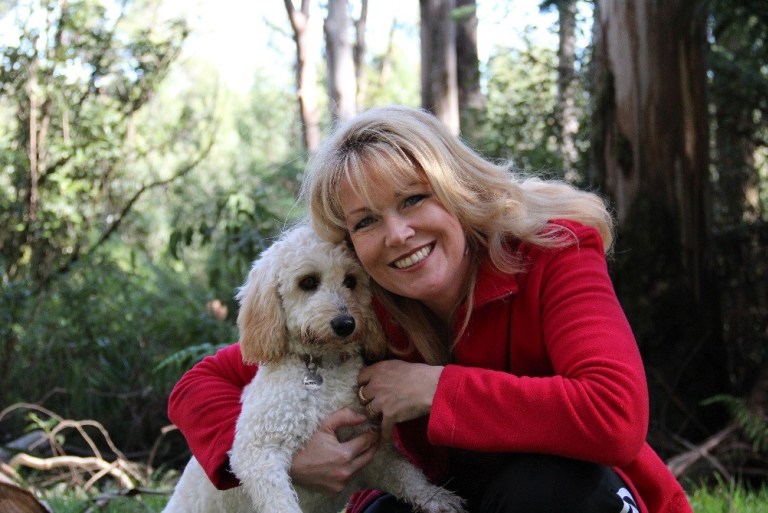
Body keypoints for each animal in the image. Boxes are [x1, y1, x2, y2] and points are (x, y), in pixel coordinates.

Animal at [164, 224, 462, 512]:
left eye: (351, 281)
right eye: (308, 282)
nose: (345, 324)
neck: (322, 368)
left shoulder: (375, 452)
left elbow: (407, 475)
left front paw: (438, 498)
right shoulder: (258, 451)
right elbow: (280, 502)